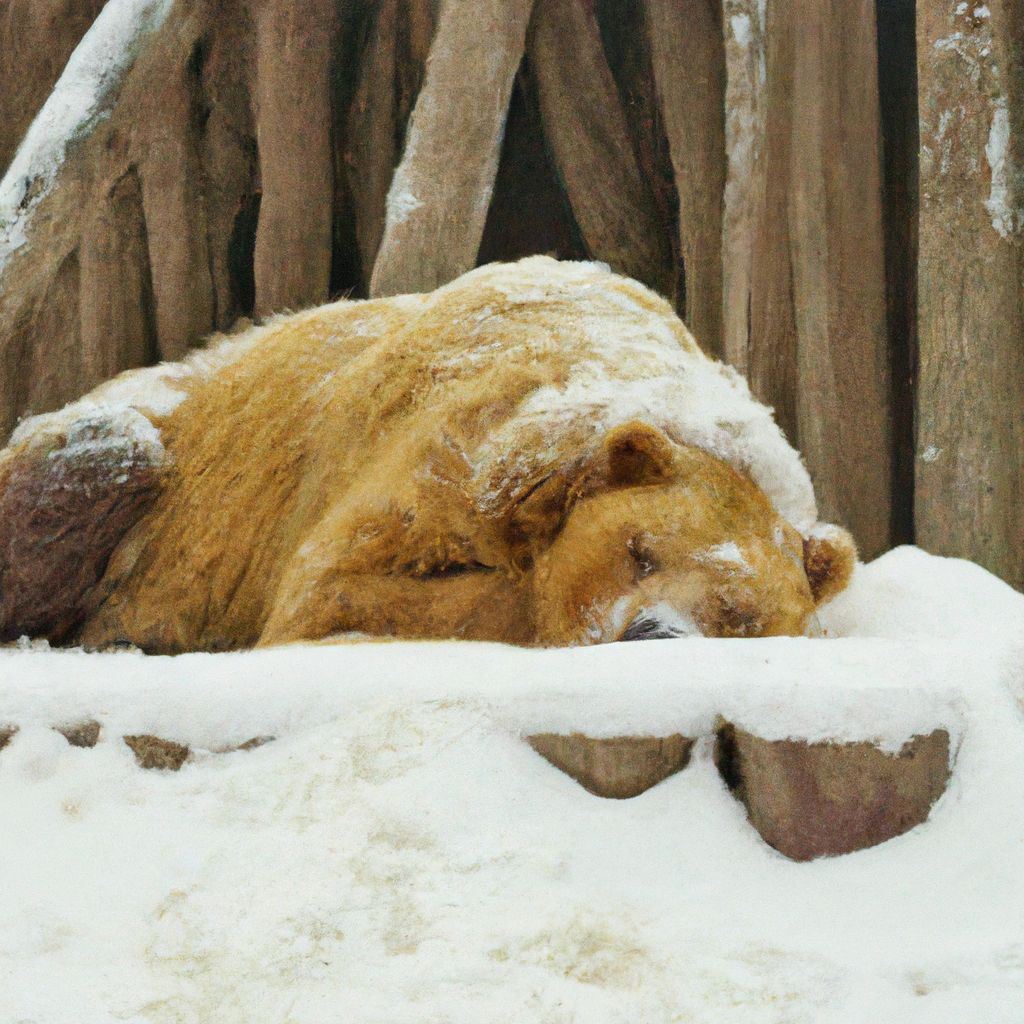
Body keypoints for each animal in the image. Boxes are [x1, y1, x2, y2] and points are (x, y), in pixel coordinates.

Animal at [0, 258, 856, 655]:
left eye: (741, 614)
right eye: (639, 548)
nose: (651, 633)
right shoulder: (434, 461)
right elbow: (337, 588)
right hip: (133, 443)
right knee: (110, 459)